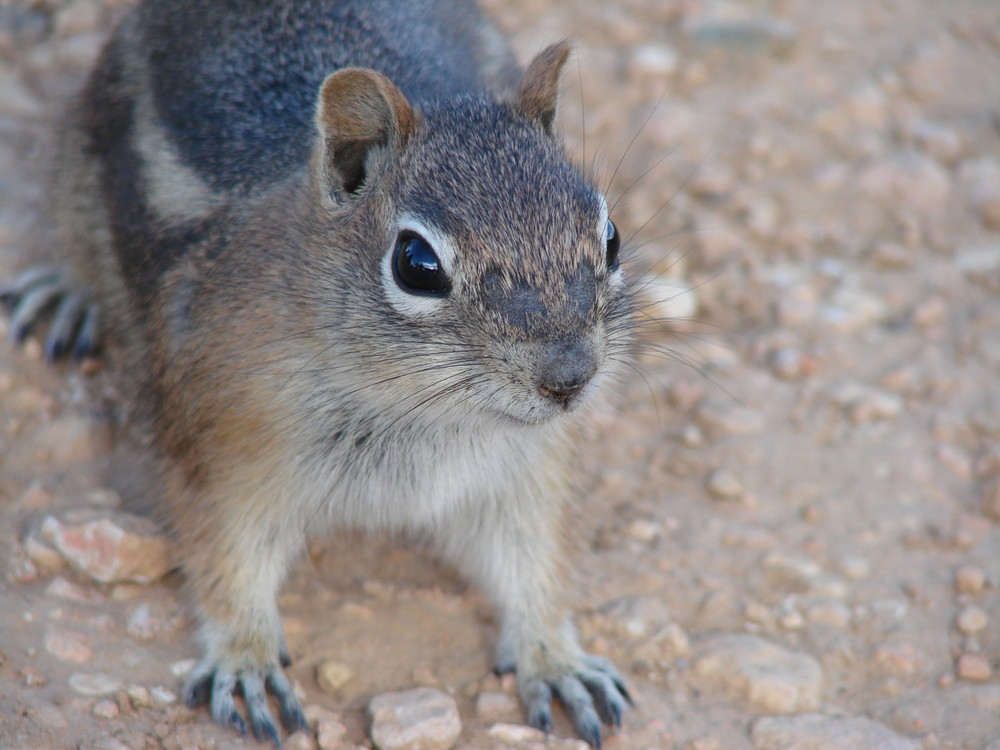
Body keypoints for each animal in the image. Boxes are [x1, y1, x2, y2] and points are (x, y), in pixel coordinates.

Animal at [1, 1, 632, 748]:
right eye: (417, 264)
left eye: (611, 237)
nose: (570, 376)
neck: (420, 411)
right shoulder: (221, 449)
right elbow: (225, 561)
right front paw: (244, 659)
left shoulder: (522, 474)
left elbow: (531, 563)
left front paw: (556, 657)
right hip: (78, 166)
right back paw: (65, 295)